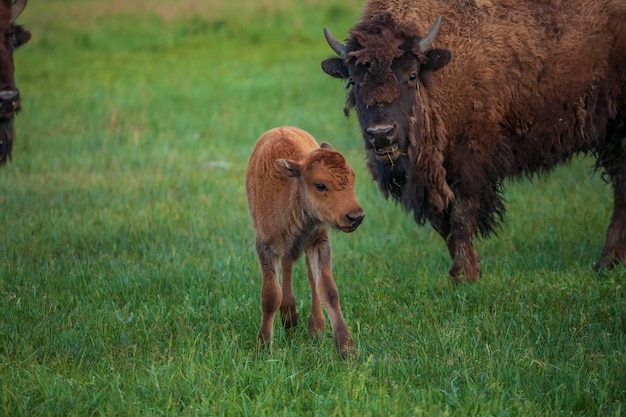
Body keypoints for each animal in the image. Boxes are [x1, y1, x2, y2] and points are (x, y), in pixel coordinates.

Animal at [243, 125, 364, 356]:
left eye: (353, 177)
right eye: (320, 185)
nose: (355, 216)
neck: (289, 194)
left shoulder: (319, 243)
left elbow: (328, 290)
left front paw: (347, 349)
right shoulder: (264, 246)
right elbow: (271, 295)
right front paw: (263, 346)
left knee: (310, 278)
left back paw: (314, 328)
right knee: (288, 268)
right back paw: (289, 318)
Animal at [322, 0, 624, 282]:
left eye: (411, 75)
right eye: (353, 81)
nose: (381, 133)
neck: (437, 73)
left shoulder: (469, 163)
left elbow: (461, 216)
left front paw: (464, 275)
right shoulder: (431, 178)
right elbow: (444, 225)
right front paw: (466, 272)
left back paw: (605, 263)